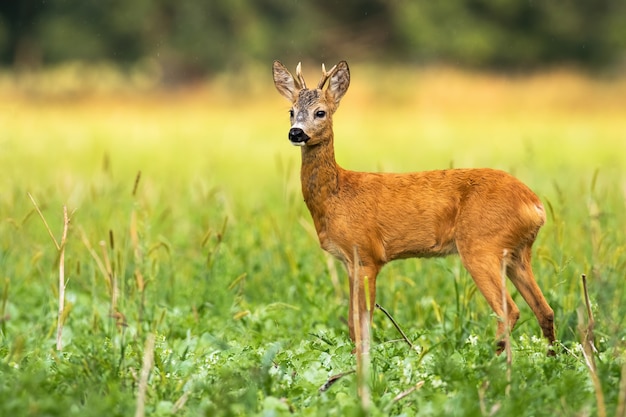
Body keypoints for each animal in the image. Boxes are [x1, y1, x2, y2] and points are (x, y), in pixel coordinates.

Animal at [270, 61, 552, 354]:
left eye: (320, 112)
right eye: (291, 111)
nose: (296, 132)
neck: (337, 196)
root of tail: (535, 205)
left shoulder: (367, 255)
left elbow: (362, 323)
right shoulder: (349, 261)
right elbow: (351, 323)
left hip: (481, 245)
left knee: (509, 310)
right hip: (517, 253)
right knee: (545, 310)